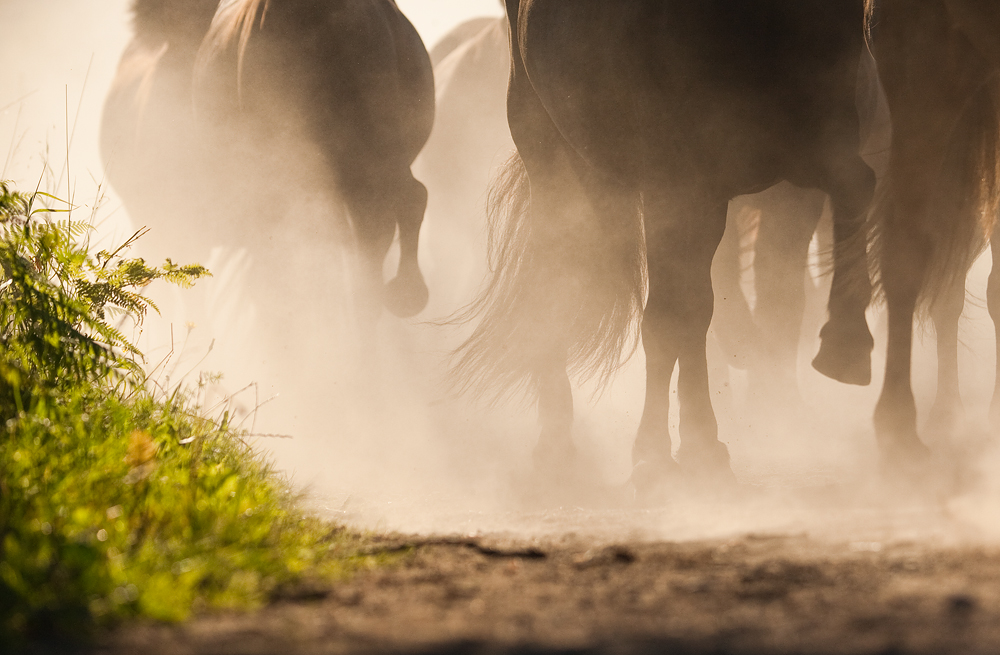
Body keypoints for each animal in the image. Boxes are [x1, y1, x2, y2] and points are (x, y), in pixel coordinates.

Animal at [458, 0, 880, 486]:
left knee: (692, 307)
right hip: (549, 153)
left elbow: (857, 184)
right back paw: (557, 442)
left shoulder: (810, 141)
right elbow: (666, 320)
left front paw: (847, 344)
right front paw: (653, 452)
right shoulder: (674, 178)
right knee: (556, 283)